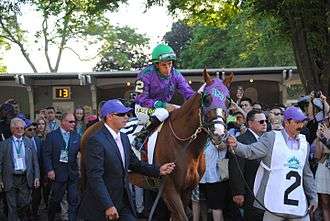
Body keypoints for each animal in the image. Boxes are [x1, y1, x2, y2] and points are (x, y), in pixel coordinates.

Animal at [80, 70, 232, 219]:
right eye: (207, 99)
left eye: (228, 101)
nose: (219, 133)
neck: (184, 145)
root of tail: (91, 127)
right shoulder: (169, 189)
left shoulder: (187, 189)